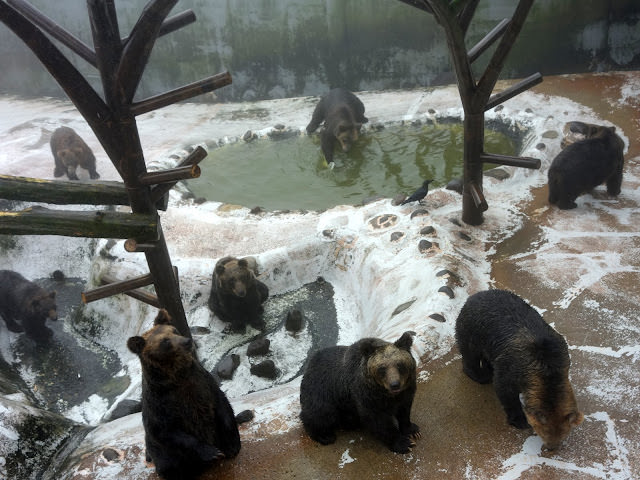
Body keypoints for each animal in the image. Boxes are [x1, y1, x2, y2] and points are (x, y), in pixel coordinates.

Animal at [128, 310, 242, 478]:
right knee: (169, 464)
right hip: (164, 455)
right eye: (165, 341)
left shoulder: (203, 383)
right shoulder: (160, 403)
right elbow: (166, 431)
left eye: (174, 330)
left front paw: (232, 445)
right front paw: (212, 452)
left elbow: (222, 405)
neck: (178, 377)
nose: (187, 341)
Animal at [452, 288, 584, 450]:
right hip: (472, 328)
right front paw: (520, 420)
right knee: (470, 353)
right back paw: (480, 374)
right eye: (544, 433)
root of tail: (474, 295)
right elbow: (504, 390)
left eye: (564, 435)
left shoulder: (562, 354)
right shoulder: (512, 367)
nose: (551, 447)